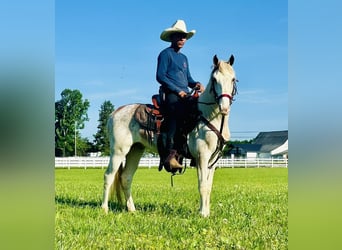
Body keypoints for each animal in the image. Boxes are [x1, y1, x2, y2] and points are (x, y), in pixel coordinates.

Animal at [100, 54, 236, 217]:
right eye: (215, 79)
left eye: (233, 79)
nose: (224, 107)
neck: (207, 115)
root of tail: (115, 113)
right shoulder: (202, 156)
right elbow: (202, 185)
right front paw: (203, 214)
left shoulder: (213, 160)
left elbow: (208, 186)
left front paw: (206, 212)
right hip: (118, 151)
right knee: (109, 176)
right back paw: (104, 209)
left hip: (135, 150)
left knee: (126, 177)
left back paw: (132, 209)